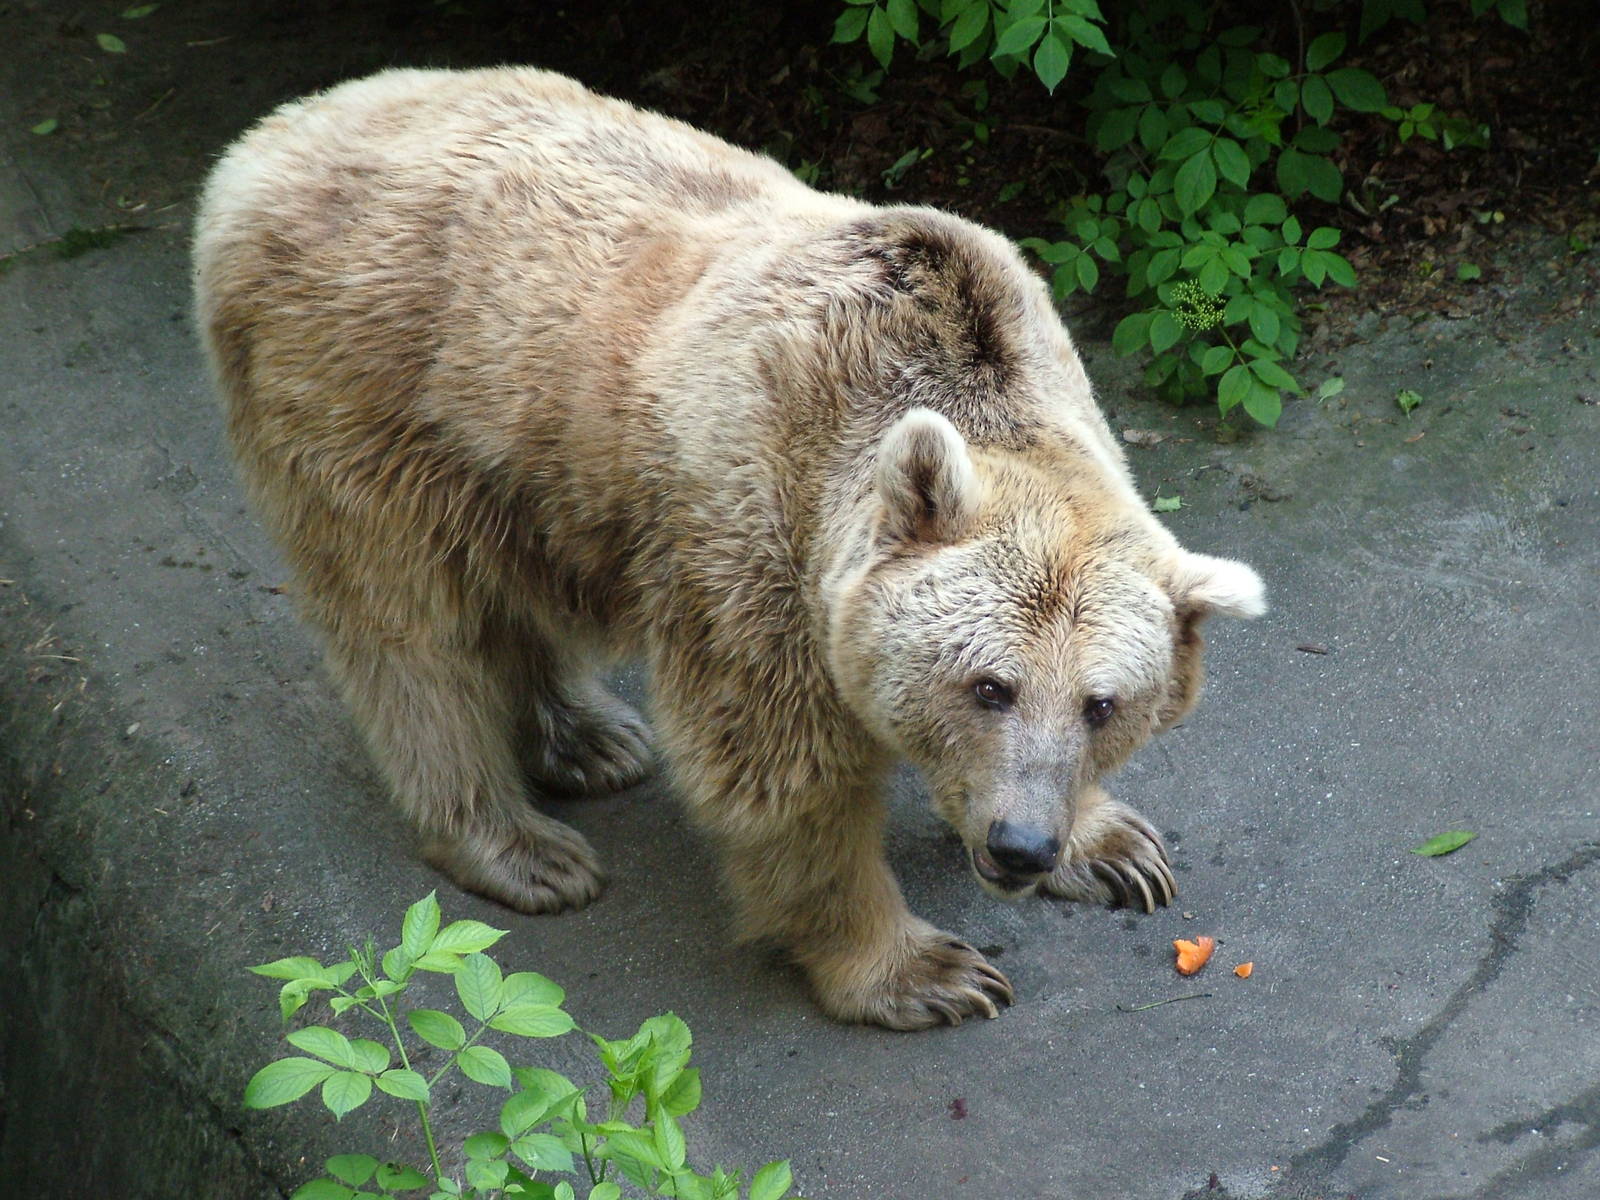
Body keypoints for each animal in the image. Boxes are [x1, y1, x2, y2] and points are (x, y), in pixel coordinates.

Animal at [192, 67, 1265, 1030]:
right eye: (988, 686)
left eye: (1103, 705)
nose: (1020, 848)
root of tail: (268, 142)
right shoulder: (755, 530)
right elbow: (778, 769)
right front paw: (920, 970)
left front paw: (1116, 846)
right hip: (365, 389)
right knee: (409, 631)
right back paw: (519, 843)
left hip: (526, 460)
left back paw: (589, 737)